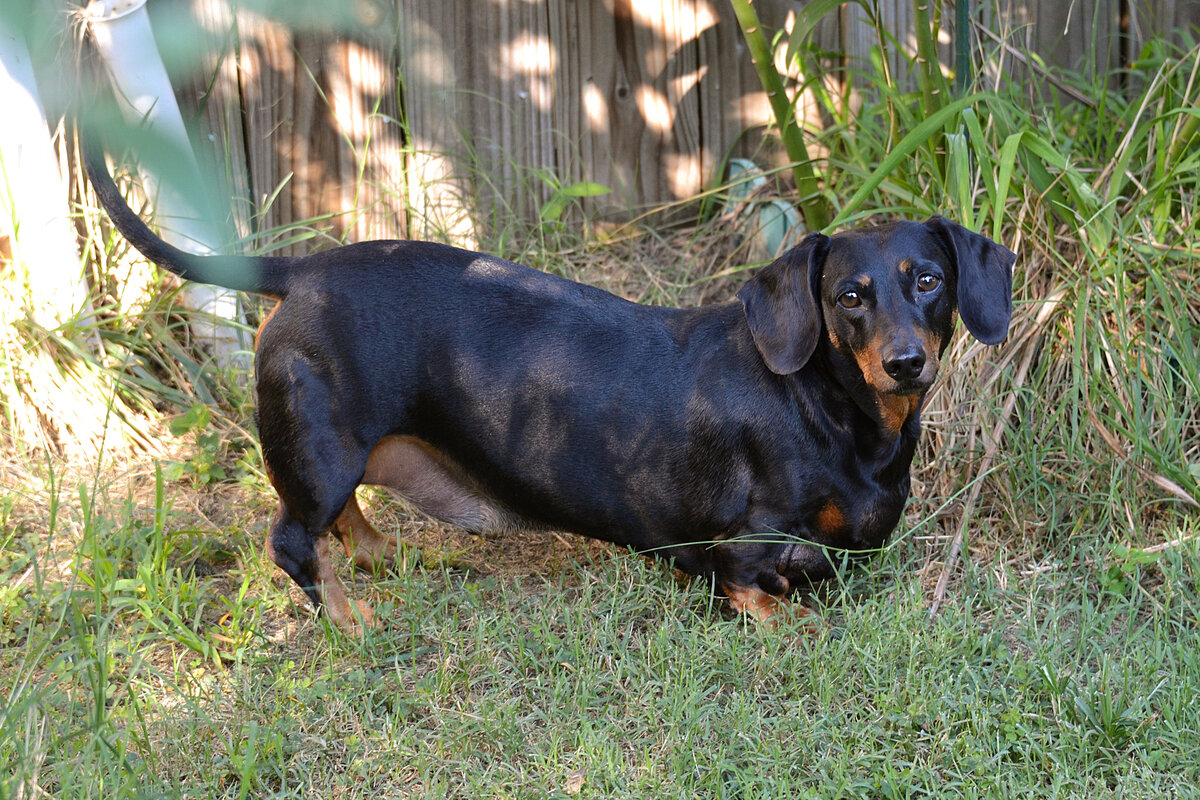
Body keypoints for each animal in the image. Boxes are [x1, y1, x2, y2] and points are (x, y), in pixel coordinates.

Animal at [82, 142, 1012, 633]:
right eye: (850, 296)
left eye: (928, 280)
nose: (906, 362)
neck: (836, 414)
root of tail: (303, 269)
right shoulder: (740, 545)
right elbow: (762, 590)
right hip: (320, 446)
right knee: (293, 539)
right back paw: (353, 622)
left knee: (341, 521)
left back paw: (388, 559)